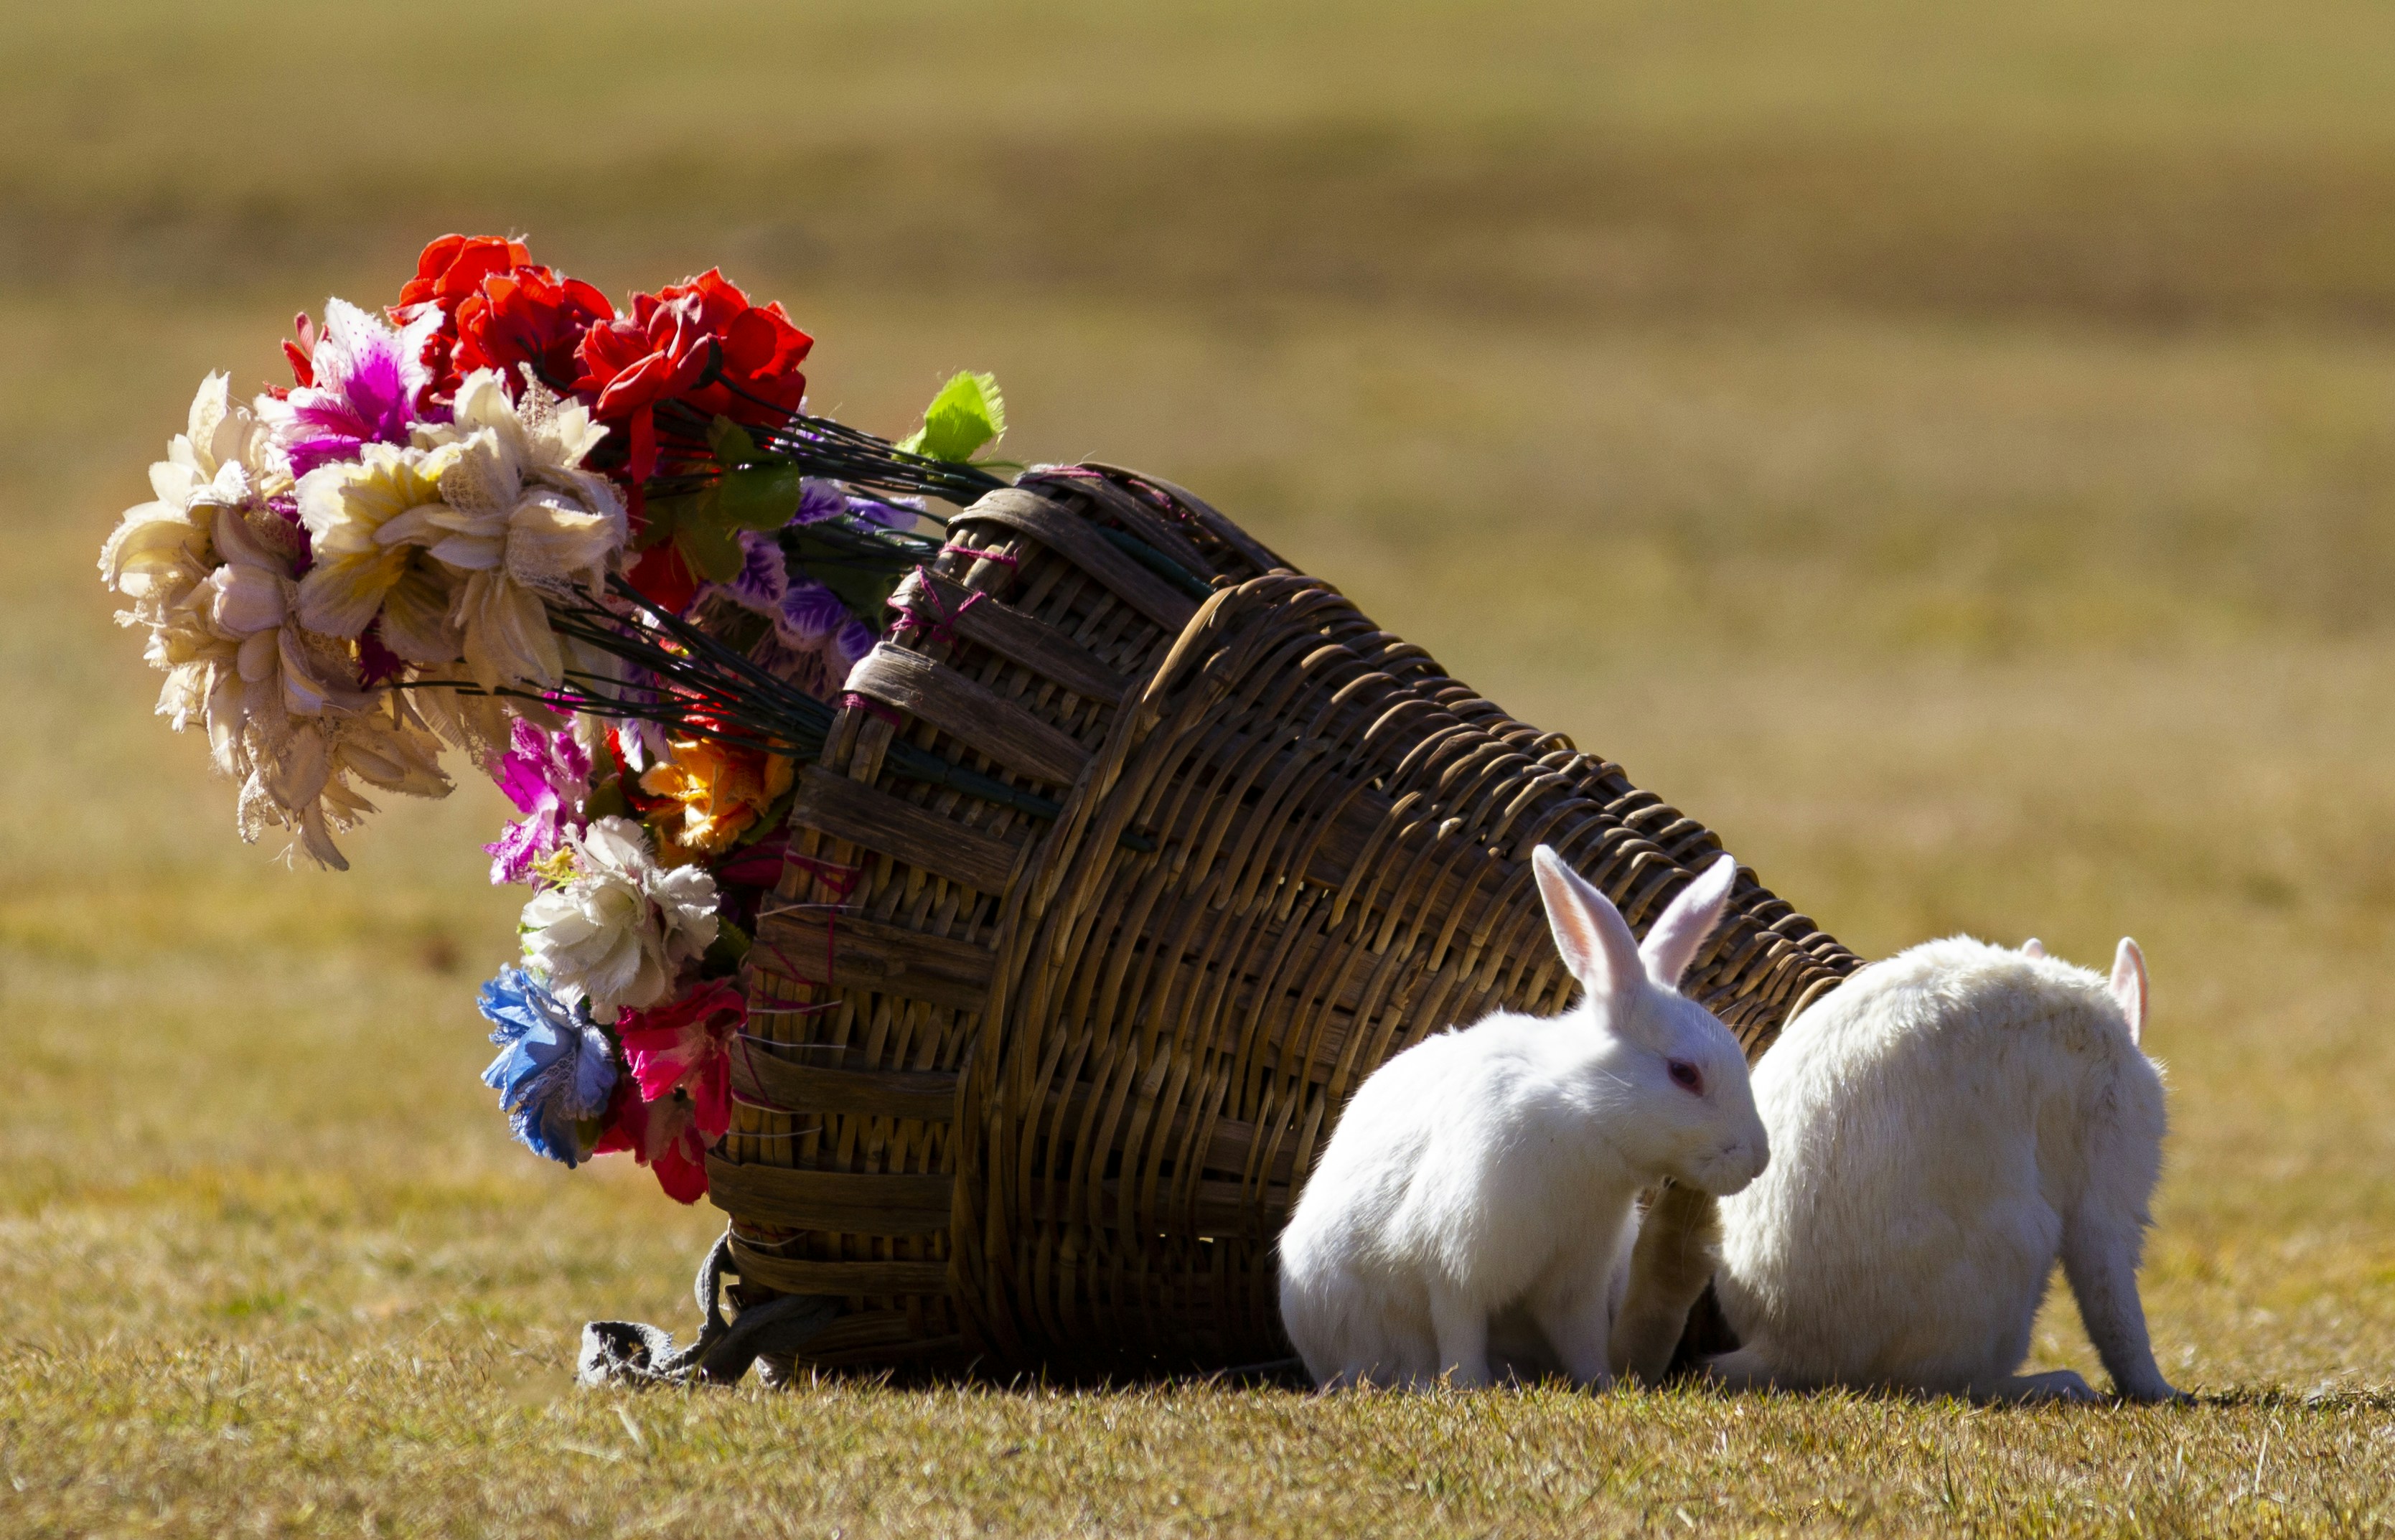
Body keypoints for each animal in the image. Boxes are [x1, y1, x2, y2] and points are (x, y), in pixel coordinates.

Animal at [1275, 846, 1770, 1390]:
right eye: (1684, 1074)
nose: (1759, 1161)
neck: (1582, 1116)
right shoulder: (1456, 1268)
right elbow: (1460, 1334)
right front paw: (1469, 1387)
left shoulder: (1574, 1284)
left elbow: (1584, 1343)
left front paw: (1602, 1386)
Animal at [1705, 934, 2180, 1403]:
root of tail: (1779, 1345)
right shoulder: (2105, 1185)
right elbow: (2116, 1310)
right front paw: (2163, 1392)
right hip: (2016, 1251)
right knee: (1948, 1385)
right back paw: (2061, 1385)